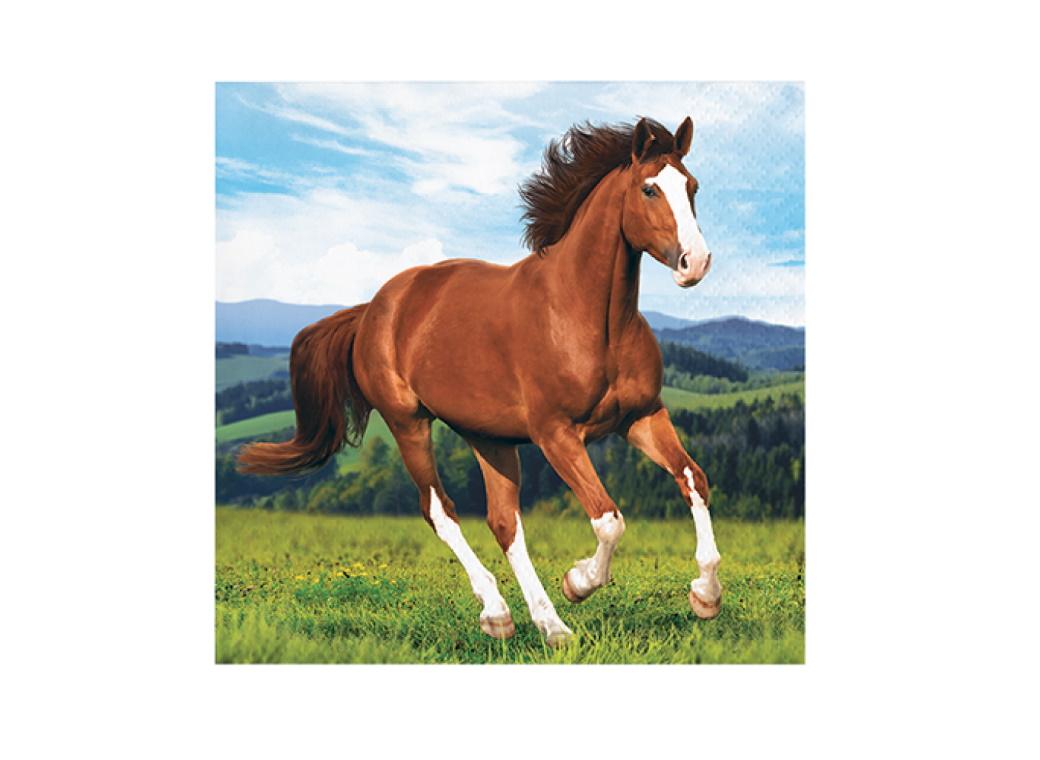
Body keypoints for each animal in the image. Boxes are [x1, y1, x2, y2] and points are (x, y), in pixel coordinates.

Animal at [237, 116, 722, 647]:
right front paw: (578, 582)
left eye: (693, 187)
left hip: (489, 437)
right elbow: (608, 519)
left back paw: (547, 625)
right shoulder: (555, 434)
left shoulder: (641, 416)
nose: (695, 263)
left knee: (504, 522)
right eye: (649, 188)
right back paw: (501, 614)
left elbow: (694, 479)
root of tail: (373, 310)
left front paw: (705, 596)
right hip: (407, 423)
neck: (584, 314)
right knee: (440, 511)